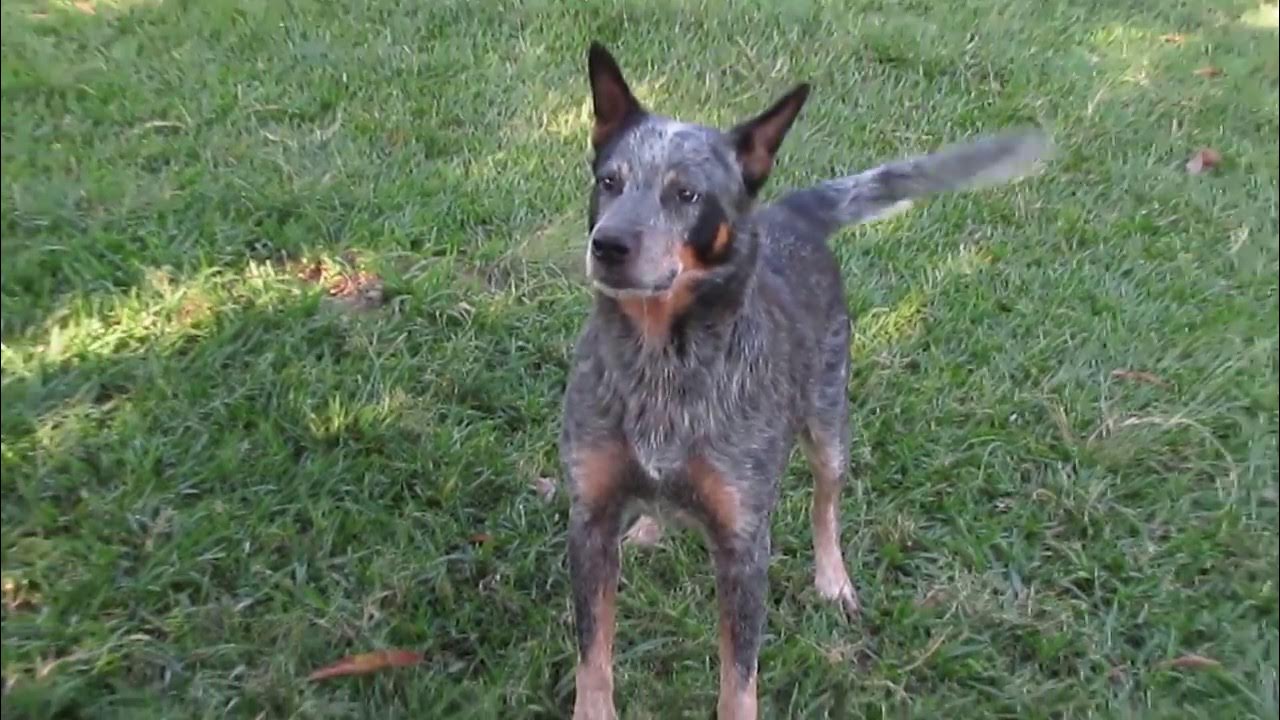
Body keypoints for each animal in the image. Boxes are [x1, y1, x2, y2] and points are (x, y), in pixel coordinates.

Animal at [560, 44, 1049, 717]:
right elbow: (594, 659)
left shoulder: (745, 545)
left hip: (829, 424)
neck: (661, 362)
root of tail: (788, 211)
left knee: (826, 505)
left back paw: (832, 579)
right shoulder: (589, 520)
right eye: (610, 180)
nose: (606, 244)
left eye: (686, 193)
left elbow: (738, 680)